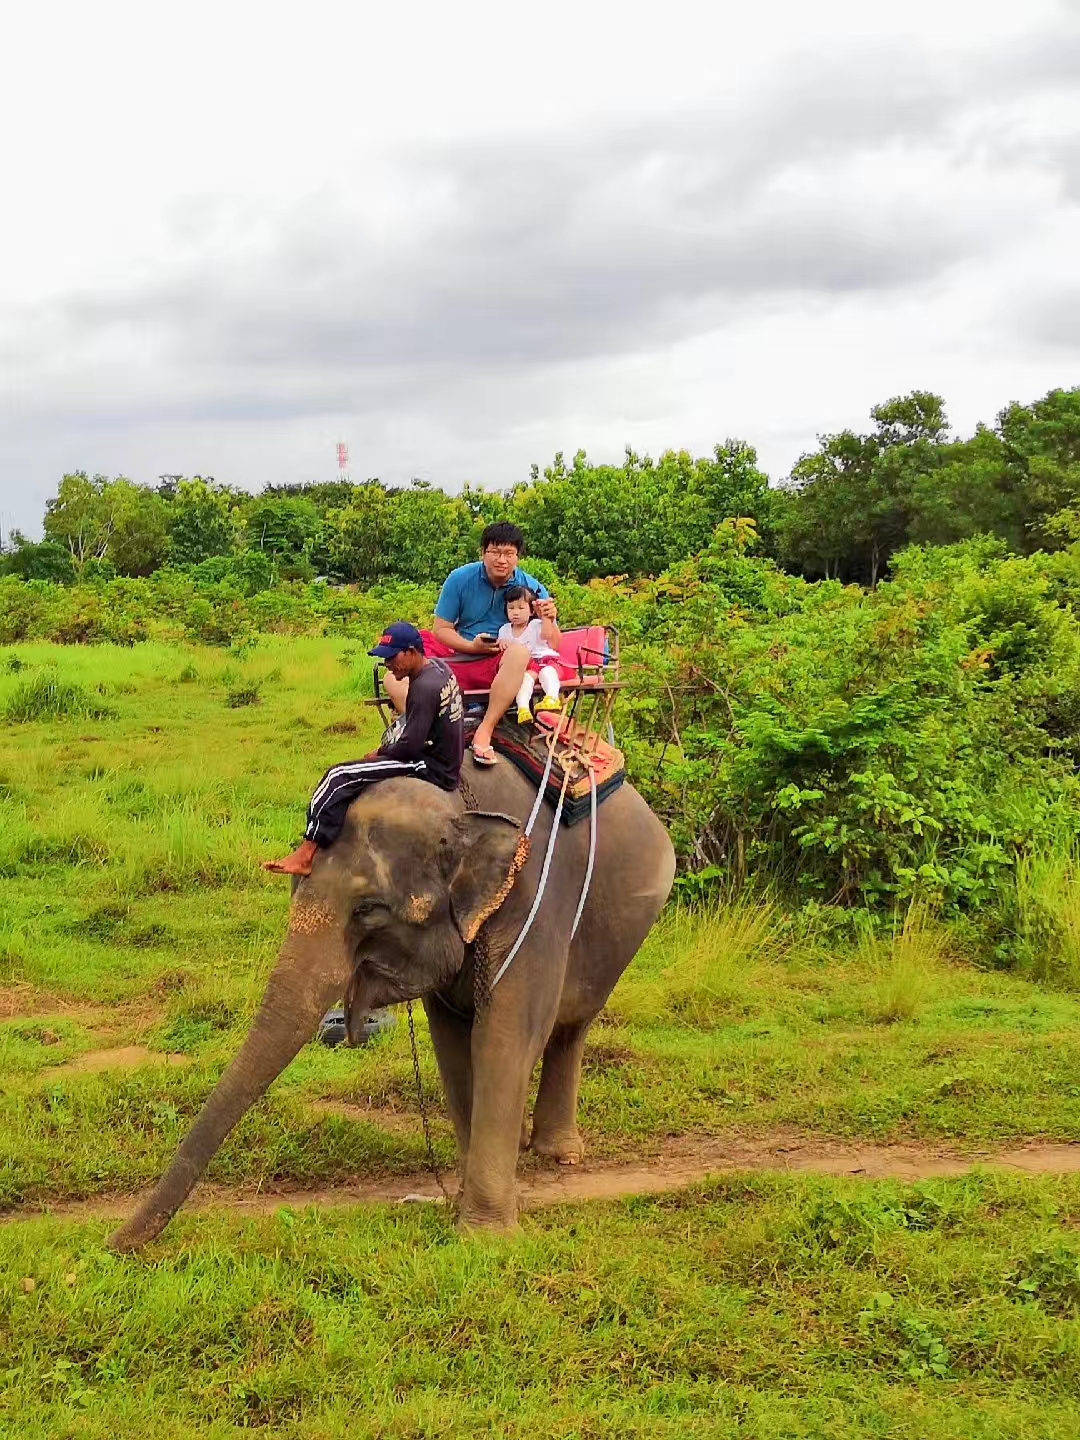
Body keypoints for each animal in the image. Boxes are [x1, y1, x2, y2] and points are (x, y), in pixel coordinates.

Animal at [105, 766, 673, 1249]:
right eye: (293, 885)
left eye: (368, 909)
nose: (112, 1245)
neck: (458, 804)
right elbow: (452, 1041)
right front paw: (466, 1201)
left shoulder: (536, 902)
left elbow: (505, 1035)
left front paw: (485, 1237)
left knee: (571, 1025)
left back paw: (561, 1154)